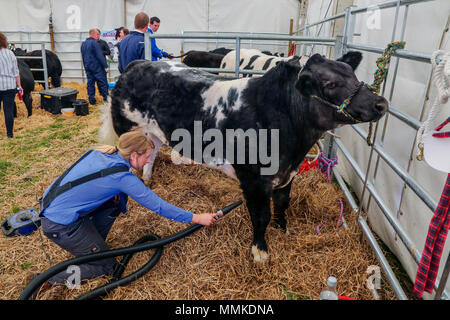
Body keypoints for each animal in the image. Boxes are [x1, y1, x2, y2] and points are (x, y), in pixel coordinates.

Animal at [100, 52, 388, 262]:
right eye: (330, 84)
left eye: (352, 73)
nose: (381, 103)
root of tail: (139, 63)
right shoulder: (253, 179)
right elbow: (260, 215)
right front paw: (260, 252)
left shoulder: (287, 172)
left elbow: (282, 203)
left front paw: (282, 230)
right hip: (126, 128)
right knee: (130, 161)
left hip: (154, 132)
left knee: (150, 155)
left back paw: (148, 180)